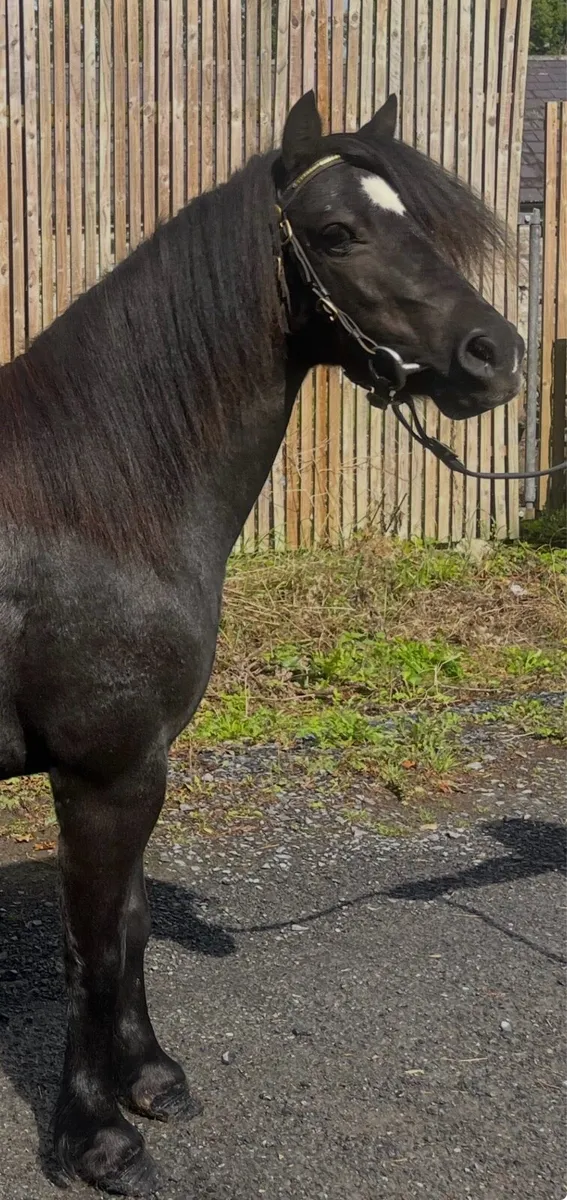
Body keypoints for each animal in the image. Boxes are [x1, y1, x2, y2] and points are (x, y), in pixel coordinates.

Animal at [0, 90, 523, 1194]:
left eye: (413, 217)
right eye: (336, 232)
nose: (495, 354)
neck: (93, 501)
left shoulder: (143, 766)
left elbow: (131, 929)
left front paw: (151, 1080)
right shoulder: (102, 773)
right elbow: (90, 952)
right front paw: (98, 1139)